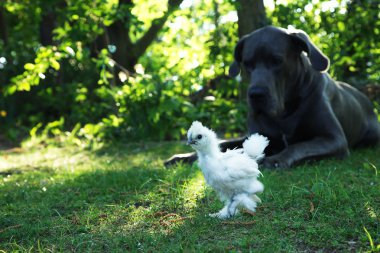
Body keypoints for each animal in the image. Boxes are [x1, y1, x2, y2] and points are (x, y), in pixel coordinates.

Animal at [166, 26, 380, 168]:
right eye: (247, 63)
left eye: (277, 61)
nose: (256, 94)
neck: (285, 112)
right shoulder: (255, 135)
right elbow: (224, 143)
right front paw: (185, 156)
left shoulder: (334, 139)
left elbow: (298, 147)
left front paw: (275, 160)